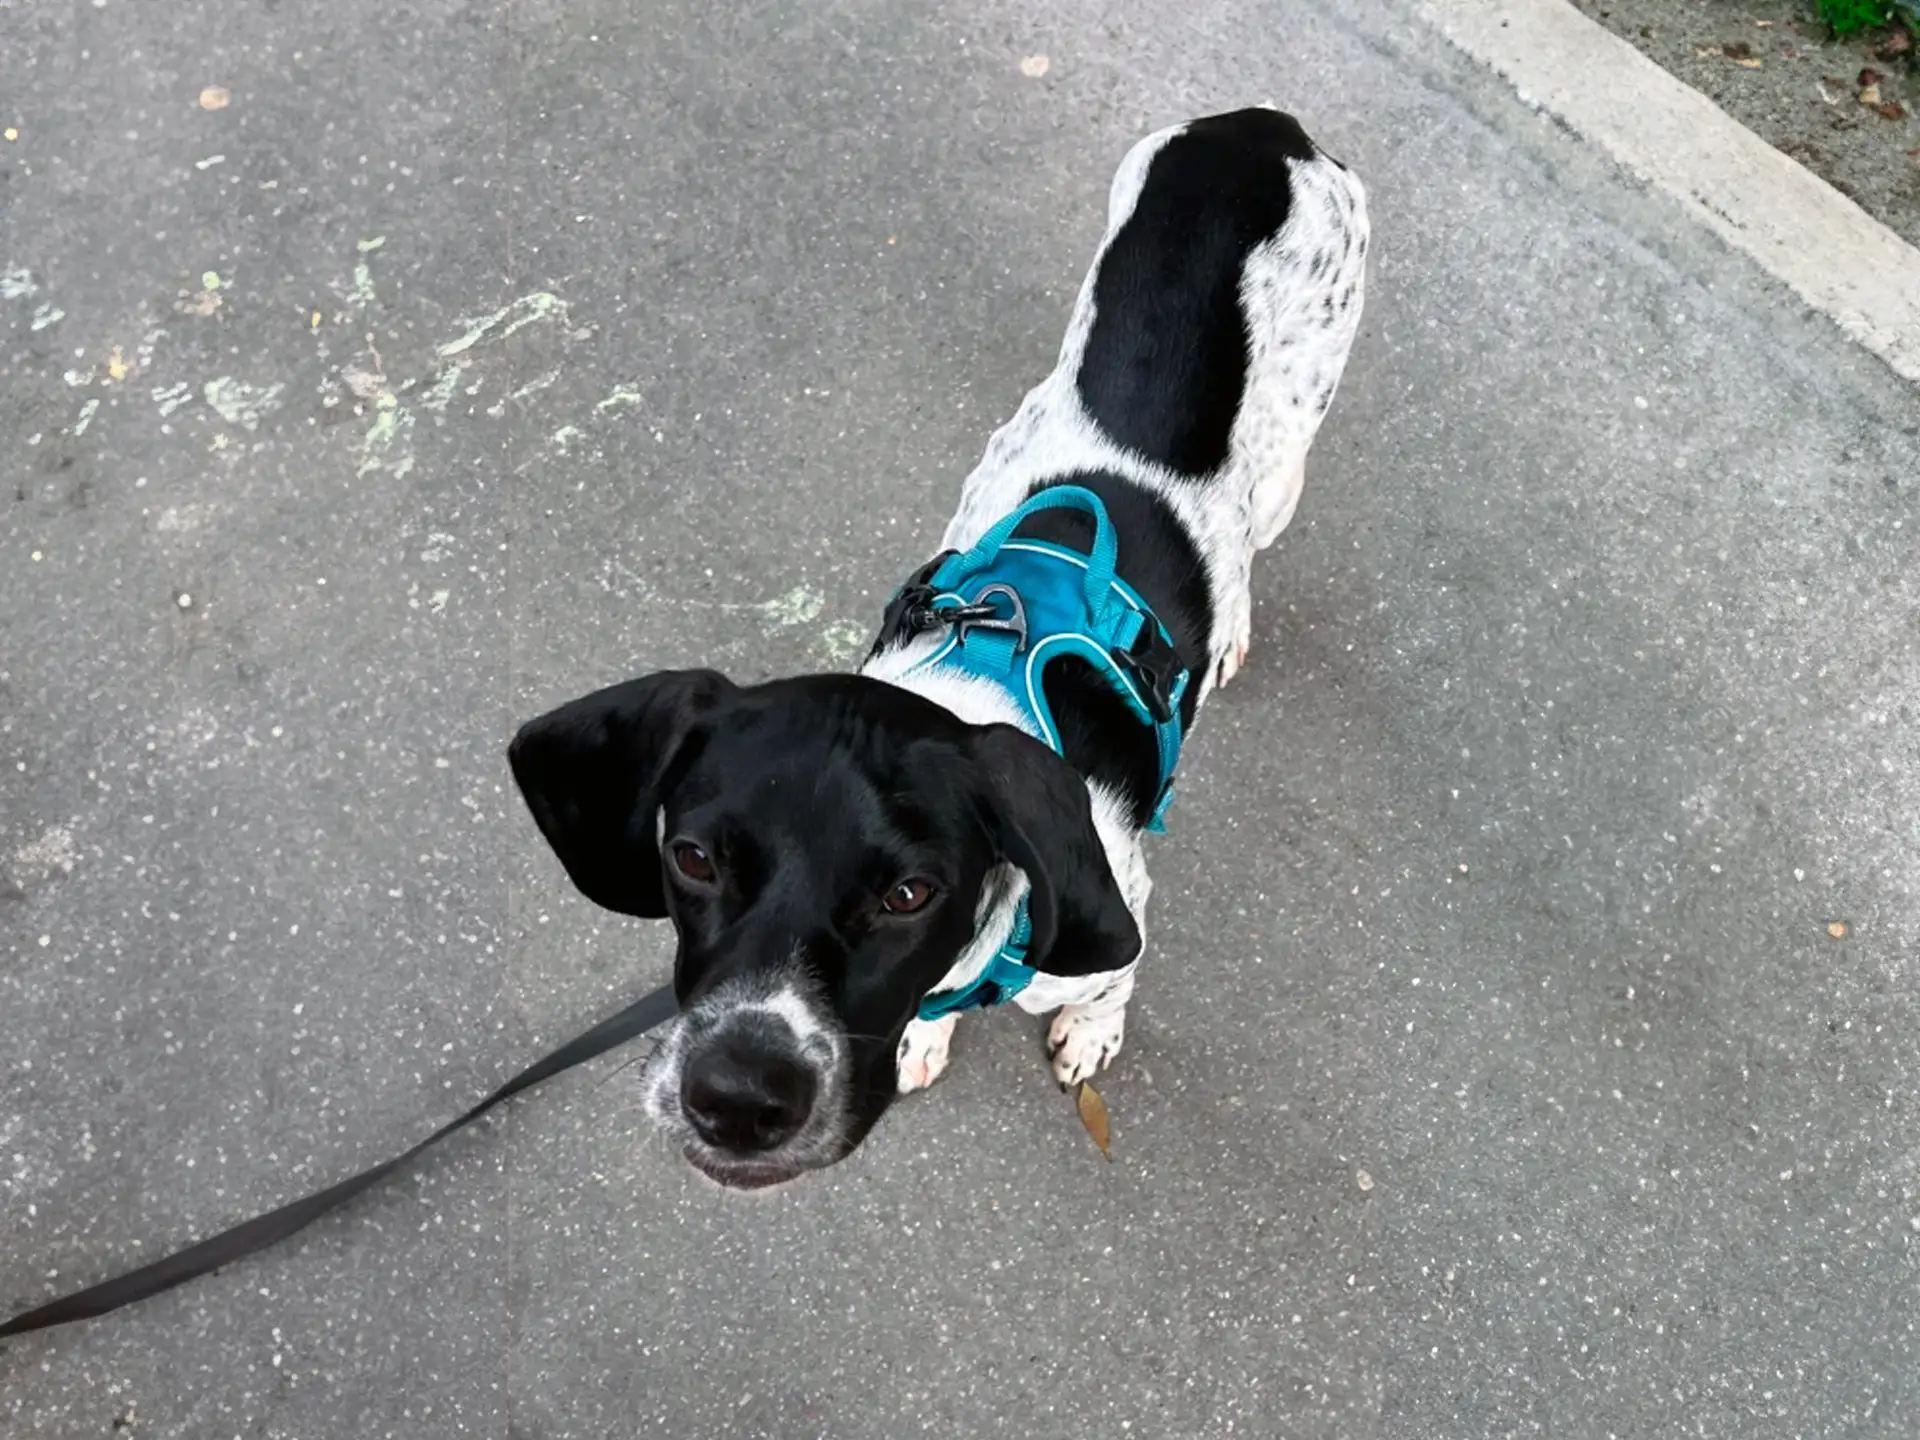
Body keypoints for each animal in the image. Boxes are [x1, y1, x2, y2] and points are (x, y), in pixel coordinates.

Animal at [506, 104, 1367, 1198]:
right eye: (690, 857)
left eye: (910, 892)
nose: (737, 1100)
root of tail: (1260, 127)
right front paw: (924, 1035)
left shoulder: (1119, 914)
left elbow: (1112, 985)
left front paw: (1089, 1032)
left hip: (1292, 448)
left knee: (1257, 536)